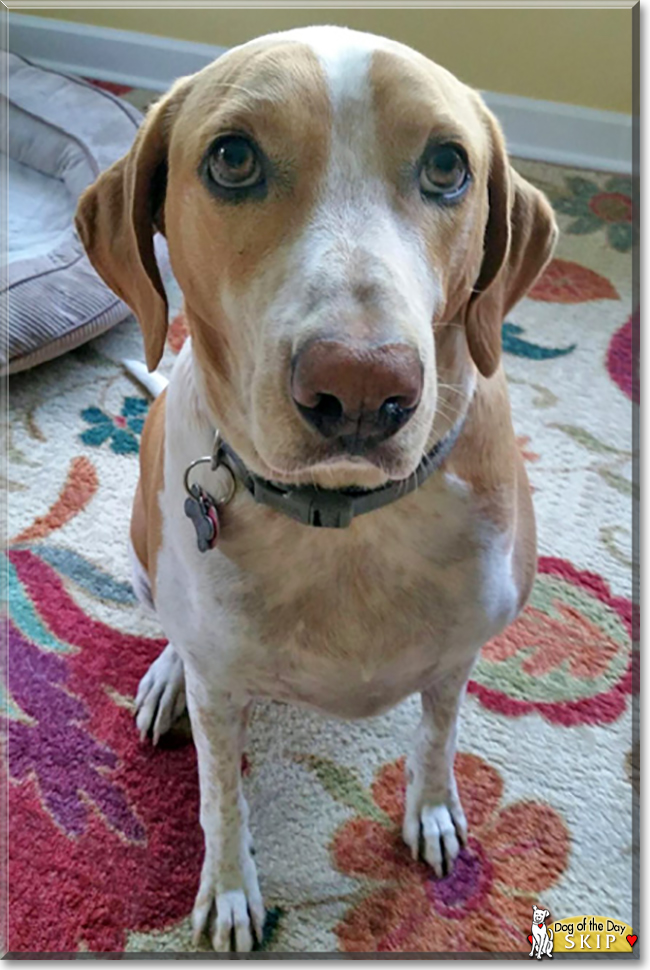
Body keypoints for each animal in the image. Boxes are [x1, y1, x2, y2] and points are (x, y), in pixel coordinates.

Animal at [74, 24, 552, 952]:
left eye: (449, 165)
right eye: (231, 157)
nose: (363, 388)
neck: (345, 518)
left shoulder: (458, 656)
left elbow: (437, 739)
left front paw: (432, 810)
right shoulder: (223, 697)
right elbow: (222, 799)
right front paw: (230, 892)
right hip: (145, 551)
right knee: (174, 638)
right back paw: (164, 678)